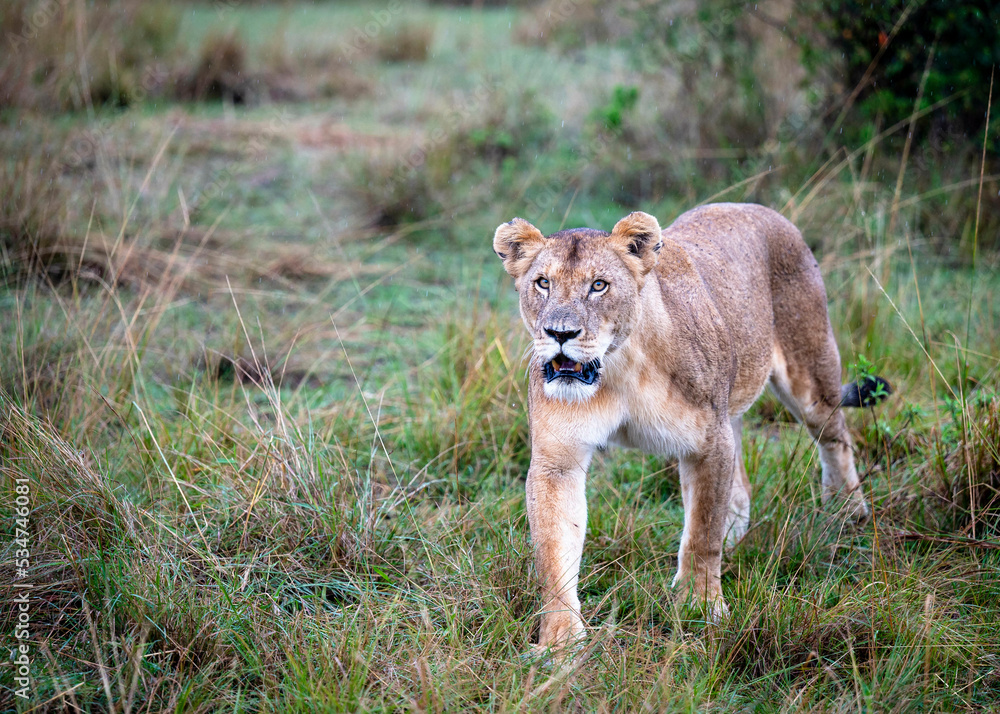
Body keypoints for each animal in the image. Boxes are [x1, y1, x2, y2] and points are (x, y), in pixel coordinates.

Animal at [493, 203, 891, 651]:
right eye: (543, 283)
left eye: (599, 285)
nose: (559, 333)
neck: (618, 366)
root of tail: (758, 208)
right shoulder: (557, 461)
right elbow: (554, 550)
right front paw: (560, 641)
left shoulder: (708, 443)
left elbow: (701, 534)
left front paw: (701, 607)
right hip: (732, 407)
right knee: (741, 487)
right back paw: (736, 542)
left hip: (811, 376)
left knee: (835, 439)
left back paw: (847, 513)